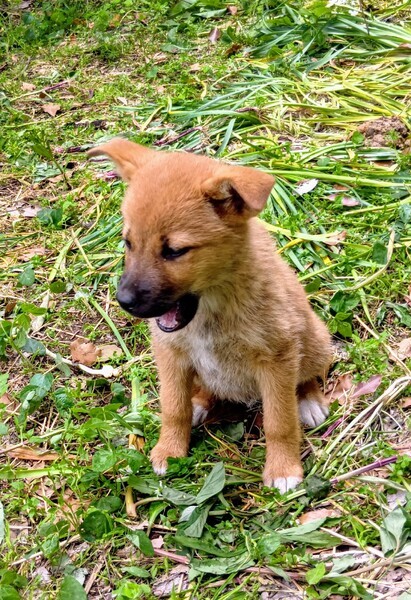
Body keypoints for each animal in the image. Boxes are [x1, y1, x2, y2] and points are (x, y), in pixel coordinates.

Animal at [88, 138, 332, 493]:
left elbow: (279, 421)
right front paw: (170, 449)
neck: (214, 306)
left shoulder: (277, 358)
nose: (125, 301)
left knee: (309, 373)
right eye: (128, 242)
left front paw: (283, 468)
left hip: (313, 339)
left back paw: (308, 400)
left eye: (175, 251)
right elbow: (173, 407)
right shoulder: (170, 353)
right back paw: (200, 403)